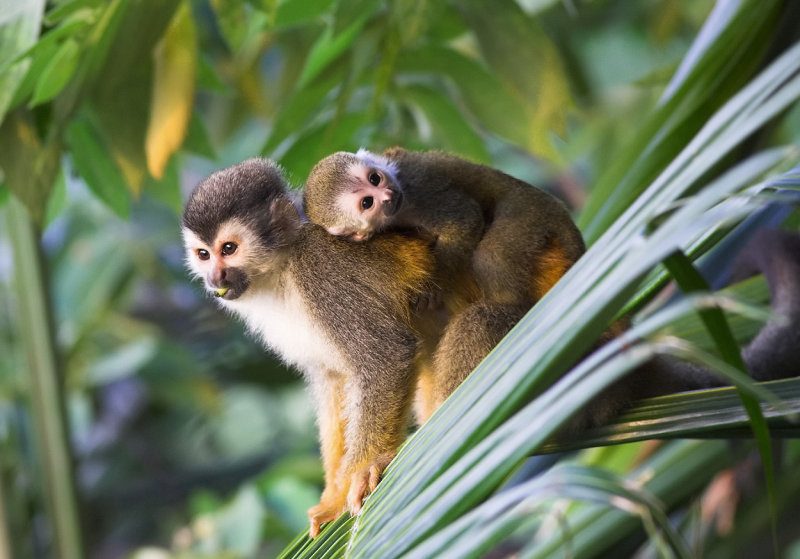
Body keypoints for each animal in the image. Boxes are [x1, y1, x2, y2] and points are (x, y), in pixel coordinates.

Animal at [304, 148, 584, 306]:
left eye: (375, 178)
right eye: (367, 203)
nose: (387, 195)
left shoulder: (415, 190)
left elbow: (465, 218)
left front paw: (435, 286)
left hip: (529, 210)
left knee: (492, 257)